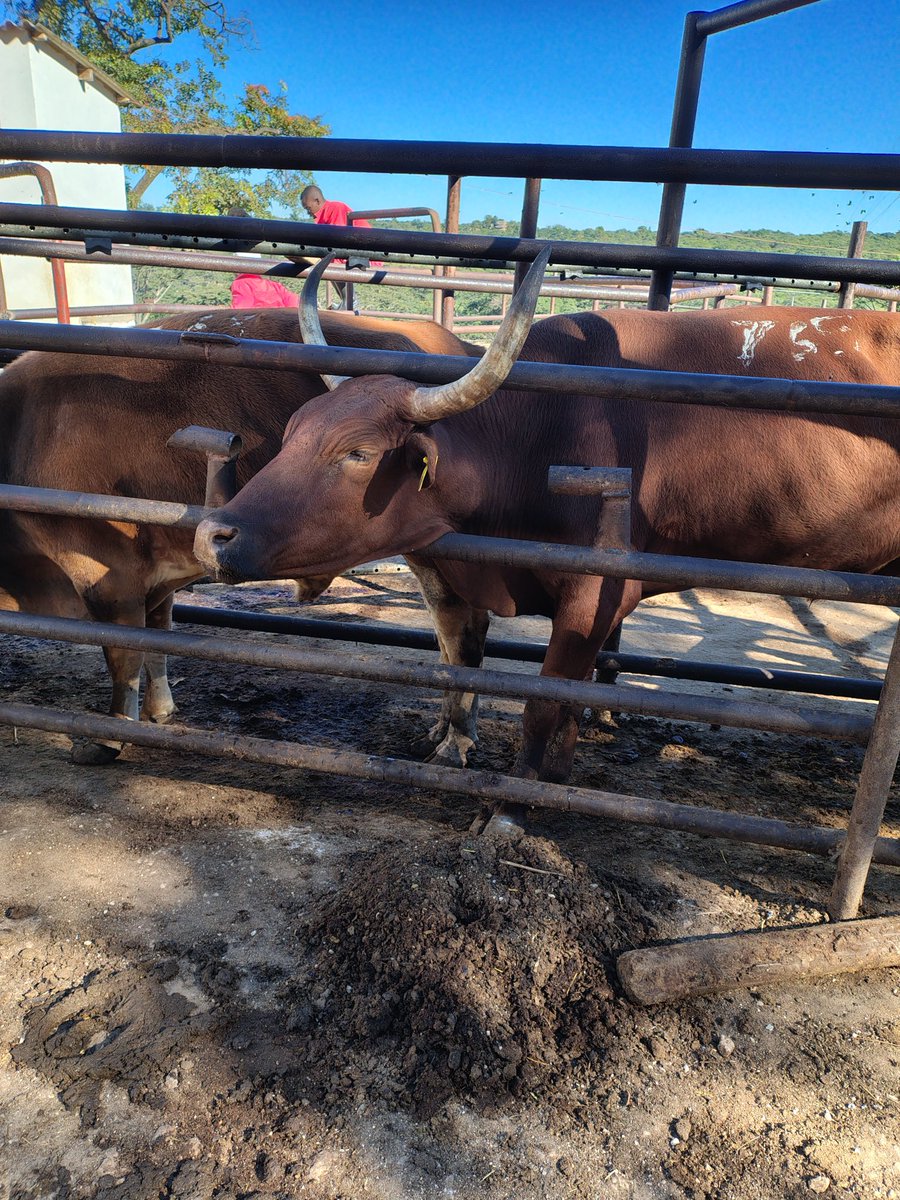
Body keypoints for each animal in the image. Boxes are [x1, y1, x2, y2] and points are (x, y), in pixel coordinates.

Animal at [0, 305, 480, 764]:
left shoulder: (106, 574)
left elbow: (123, 658)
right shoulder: (150, 576)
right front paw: (159, 711)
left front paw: (108, 737)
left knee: (460, 637)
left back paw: (455, 739)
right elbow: (156, 639)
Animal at [193, 251, 900, 831]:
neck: (542, 432)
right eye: (293, 431)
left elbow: (545, 700)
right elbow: (530, 686)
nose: (213, 534)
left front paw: (513, 805)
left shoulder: (596, 594)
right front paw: (546, 775)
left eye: (359, 453)